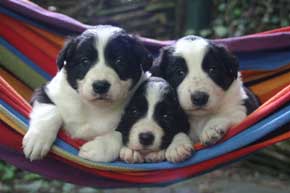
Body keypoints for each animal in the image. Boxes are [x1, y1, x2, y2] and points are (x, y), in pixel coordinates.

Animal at [22, 25, 153, 161]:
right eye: (85, 61)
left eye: (119, 61)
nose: (100, 86)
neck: (93, 107)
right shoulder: (48, 91)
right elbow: (50, 111)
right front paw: (37, 140)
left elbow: (120, 134)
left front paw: (95, 150)